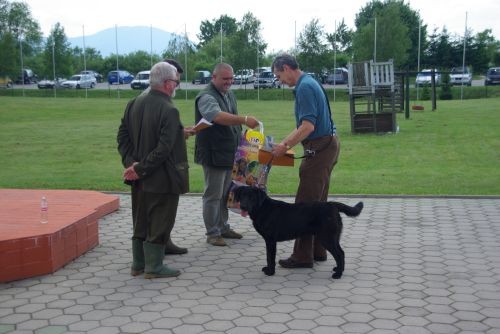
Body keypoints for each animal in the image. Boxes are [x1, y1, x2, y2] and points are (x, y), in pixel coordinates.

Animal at [232, 187, 362, 278]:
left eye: (252, 197)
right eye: (242, 196)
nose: (243, 206)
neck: (262, 208)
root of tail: (332, 204)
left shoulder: (270, 240)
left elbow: (270, 258)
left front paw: (270, 272)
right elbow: (269, 257)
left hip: (327, 238)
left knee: (339, 254)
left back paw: (338, 275)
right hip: (333, 237)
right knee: (341, 253)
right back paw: (338, 269)